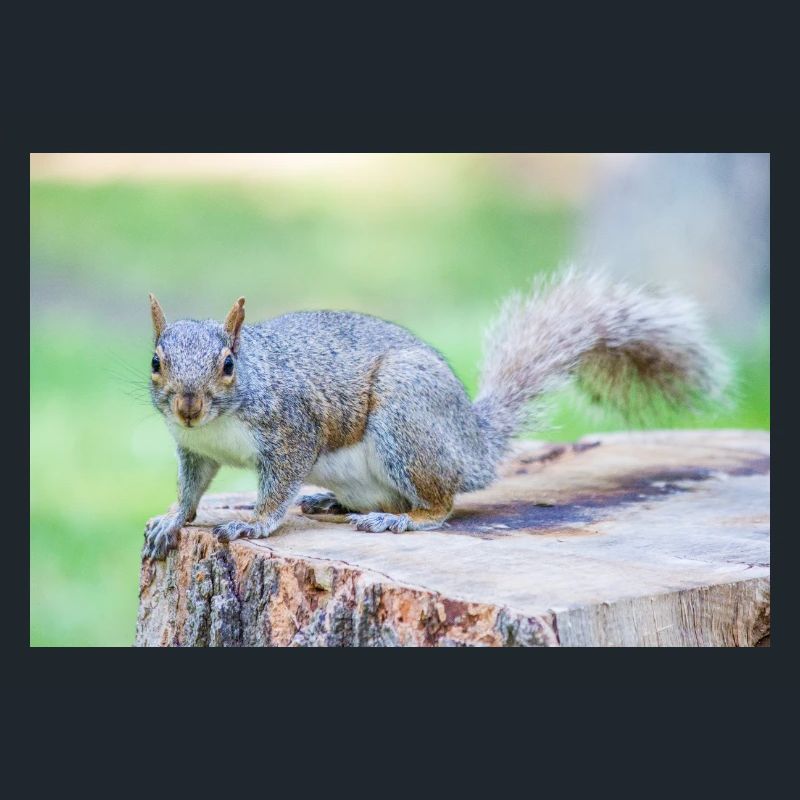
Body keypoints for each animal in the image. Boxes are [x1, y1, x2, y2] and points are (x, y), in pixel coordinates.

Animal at [143, 269, 729, 559]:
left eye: (228, 364)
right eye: (155, 361)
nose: (188, 405)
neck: (219, 424)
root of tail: (473, 444)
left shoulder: (293, 431)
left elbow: (277, 486)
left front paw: (253, 523)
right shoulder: (193, 450)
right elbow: (191, 491)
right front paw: (171, 521)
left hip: (407, 420)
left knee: (441, 505)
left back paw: (400, 519)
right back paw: (331, 502)